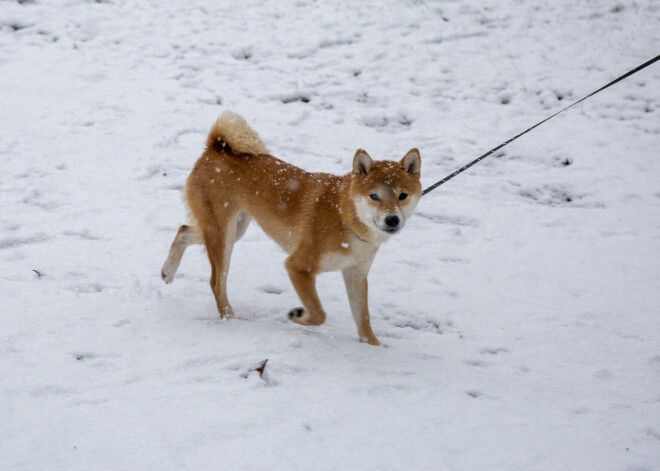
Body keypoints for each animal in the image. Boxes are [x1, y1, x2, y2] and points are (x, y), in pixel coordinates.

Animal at [164, 111, 422, 346]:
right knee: (217, 282)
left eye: (402, 196)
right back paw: (230, 318)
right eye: (374, 196)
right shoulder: (298, 266)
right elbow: (319, 313)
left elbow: (363, 320)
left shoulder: (356, 275)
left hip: (234, 230)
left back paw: (168, 271)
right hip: (223, 235)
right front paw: (298, 315)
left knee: (184, 230)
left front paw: (375, 348)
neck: (346, 218)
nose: (392, 220)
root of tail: (216, 148)